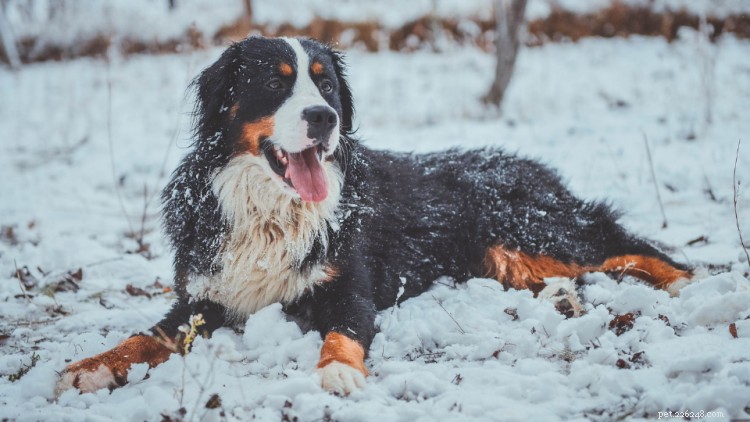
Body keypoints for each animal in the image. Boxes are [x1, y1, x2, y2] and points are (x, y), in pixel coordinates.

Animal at [57, 35, 692, 396]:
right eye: (273, 84)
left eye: (326, 86)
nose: (323, 118)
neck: (272, 212)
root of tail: (525, 163)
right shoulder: (203, 298)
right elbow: (142, 337)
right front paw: (88, 367)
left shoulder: (348, 289)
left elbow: (342, 334)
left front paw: (336, 374)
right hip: (507, 257)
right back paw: (564, 300)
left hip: (534, 230)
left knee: (631, 248)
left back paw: (689, 285)